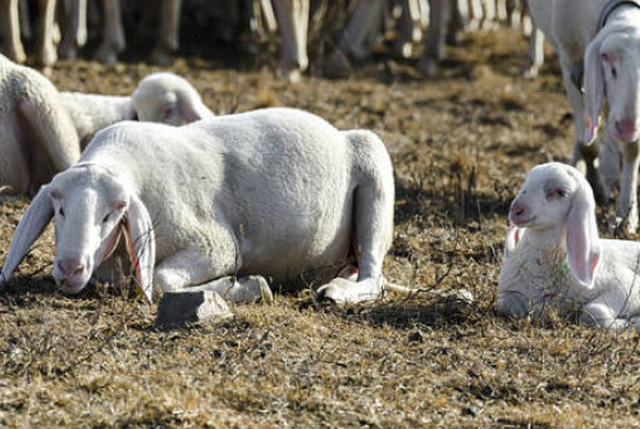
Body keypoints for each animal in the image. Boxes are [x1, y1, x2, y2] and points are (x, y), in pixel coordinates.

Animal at [0, 108, 398, 306]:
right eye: (60, 210)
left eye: (112, 213)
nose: (70, 268)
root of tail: (339, 134)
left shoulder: (218, 246)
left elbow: (161, 281)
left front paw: (246, 286)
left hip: (374, 165)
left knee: (373, 277)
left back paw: (336, 294)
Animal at [498, 162, 640, 330]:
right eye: (526, 182)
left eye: (560, 192)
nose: (516, 209)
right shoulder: (509, 293)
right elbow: (505, 305)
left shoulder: (628, 285)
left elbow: (593, 312)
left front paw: (631, 322)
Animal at [528, 0, 640, 232]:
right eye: (607, 59)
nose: (627, 128)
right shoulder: (571, 61)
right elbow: (587, 142)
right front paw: (596, 187)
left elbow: (632, 149)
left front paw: (626, 215)